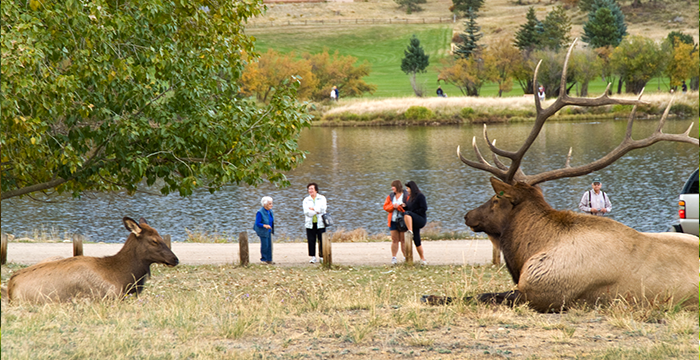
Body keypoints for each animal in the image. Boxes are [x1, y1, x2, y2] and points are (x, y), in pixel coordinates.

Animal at [426, 38, 696, 310]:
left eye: (495, 199)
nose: (468, 215)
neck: (528, 253)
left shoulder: (542, 293)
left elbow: (482, 296)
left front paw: (432, 296)